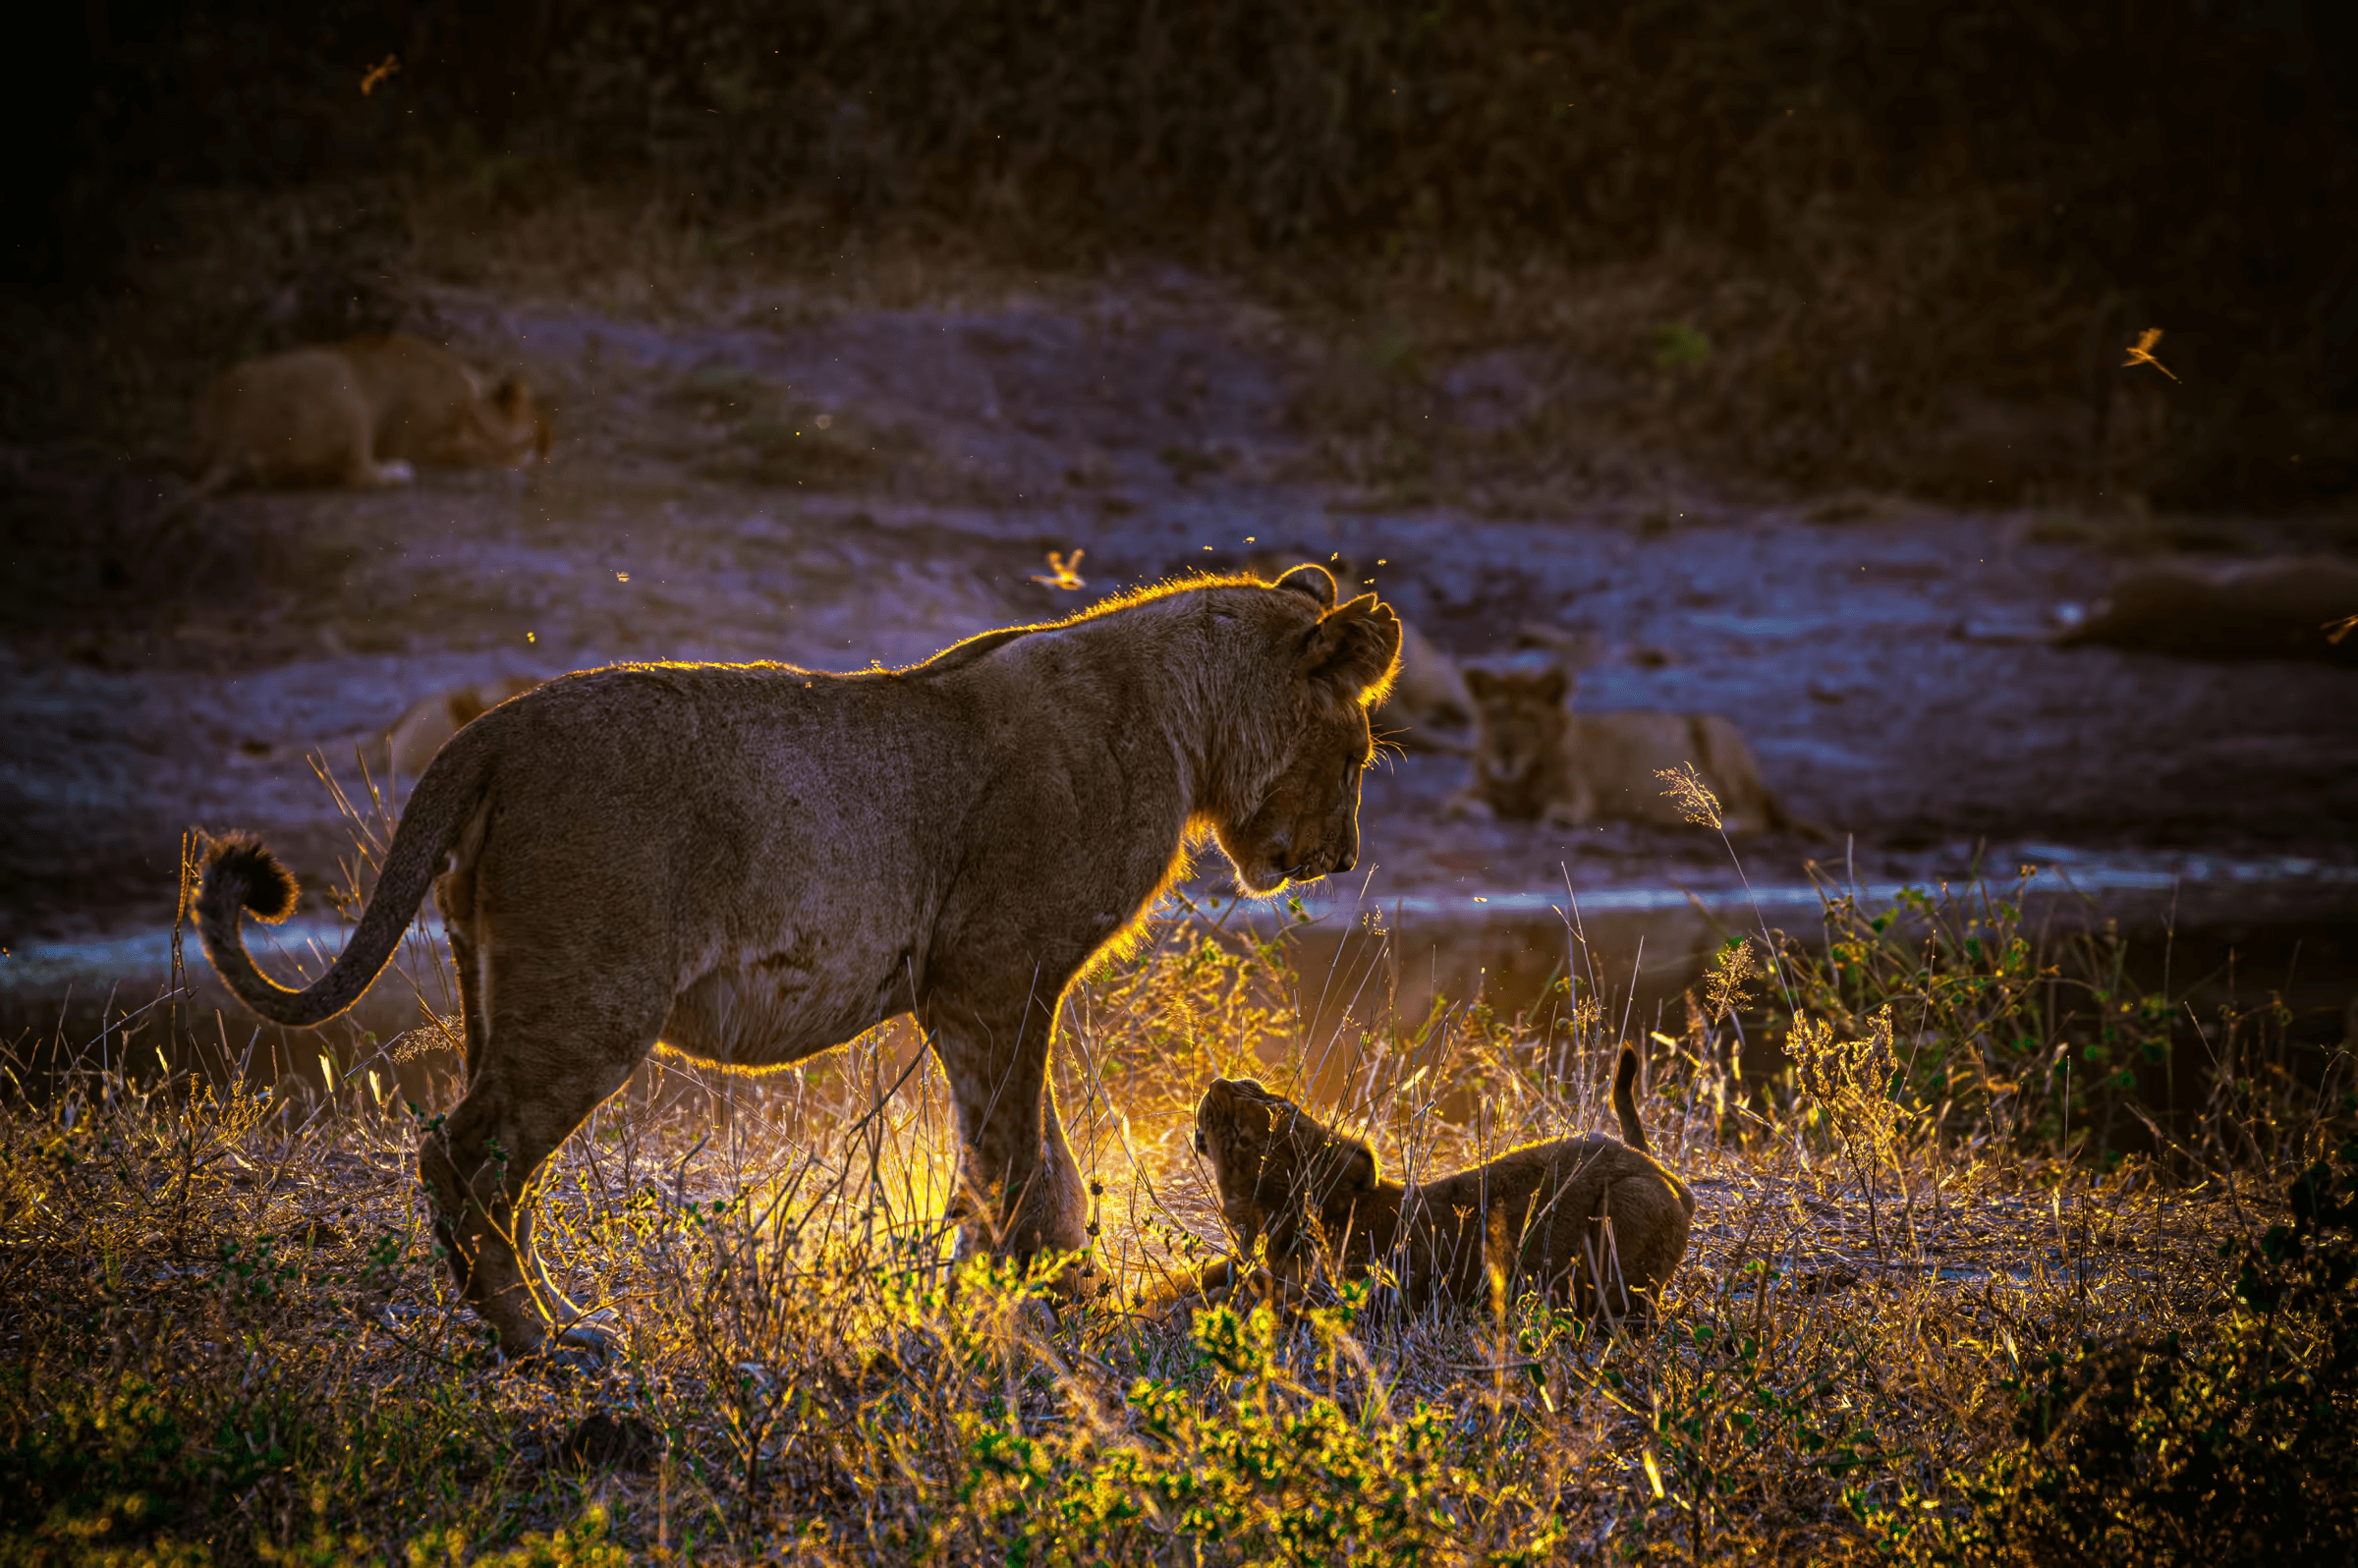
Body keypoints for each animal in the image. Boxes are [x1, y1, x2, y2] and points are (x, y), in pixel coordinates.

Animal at [180, 332, 551, 504]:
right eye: (539, 430)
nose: (550, 449)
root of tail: (237, 429)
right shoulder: (417, 439)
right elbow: (470, 452)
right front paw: (517, 458)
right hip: (343, 383)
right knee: (358, 474)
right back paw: (396, 473)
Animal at [202, 568, 1395, 1368]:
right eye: (1358, 753)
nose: (1341, 857)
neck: (1183, 715)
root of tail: (489, 730)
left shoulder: (986, 991)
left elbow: (1035, 1153)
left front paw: (1053, 1295)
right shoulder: (991, 974)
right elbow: (1018, 1154)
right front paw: (1039, 1305)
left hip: (492, 987)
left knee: (486, 1172)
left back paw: (549, 1322)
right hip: (588, 1000)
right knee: (468, 1161)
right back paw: (543, 1342)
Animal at [1442, 660, 1792, 829]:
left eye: (1530, 718)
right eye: (1496, 713)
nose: (1506, 753)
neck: (1519, 779)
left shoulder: (1580, 796)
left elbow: (1560, 810)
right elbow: (1456, 802)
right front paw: (1479, 809)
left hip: (1715, 728)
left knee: (1753, 815)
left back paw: (1715, 820)